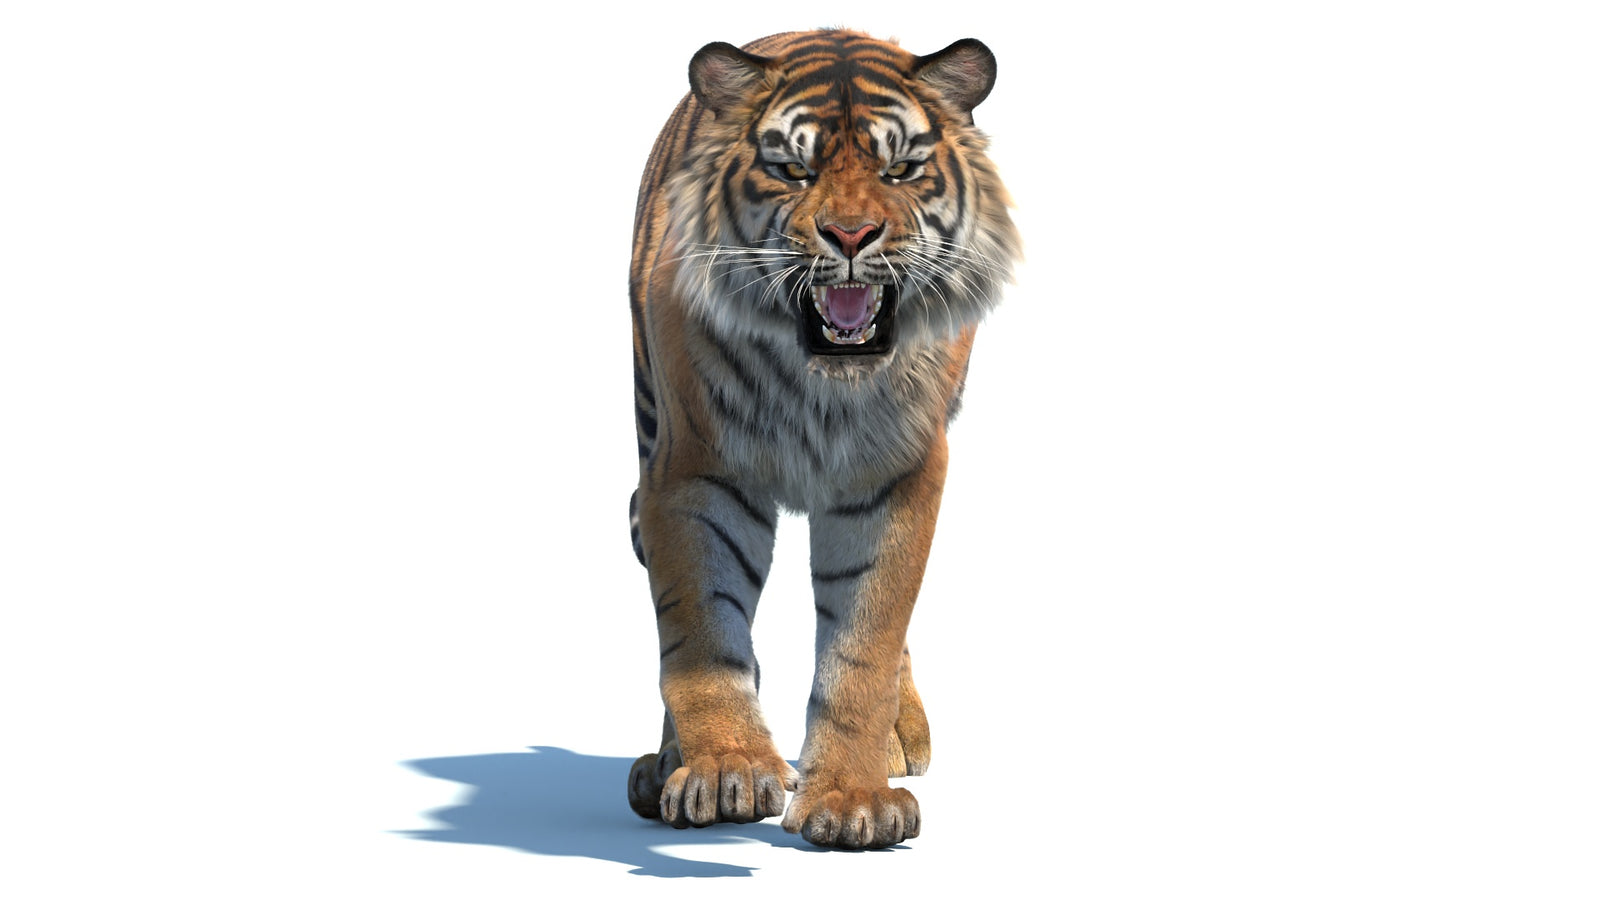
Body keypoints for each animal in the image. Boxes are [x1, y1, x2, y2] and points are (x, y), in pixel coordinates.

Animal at [624, 29, 1020, 850]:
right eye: (792, 170)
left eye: (900, 169)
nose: (850, 236)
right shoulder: (693, 469)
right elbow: (701, 630)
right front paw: (724, 770)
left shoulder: (898, 472)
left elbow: (866, 641)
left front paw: (851, 800)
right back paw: (663, 763)